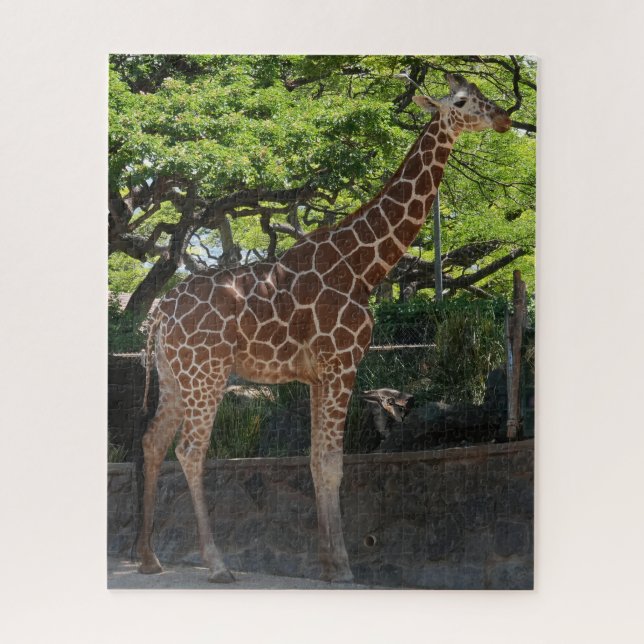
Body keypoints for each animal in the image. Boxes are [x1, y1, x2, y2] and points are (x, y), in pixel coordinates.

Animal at [136, 73, 512, 583]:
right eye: (462, 101)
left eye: (482, 95)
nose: (504, 117)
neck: (363, 267)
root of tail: (160, 312)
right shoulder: (342, 364)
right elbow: (333, 463)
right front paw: (346, 568)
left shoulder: (317, 375)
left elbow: (316, 461)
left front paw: (327, 562)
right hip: (206, 374)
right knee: (191, 451)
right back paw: (217, 564)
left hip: (175, 377)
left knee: (153, 441)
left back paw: (148, 558)